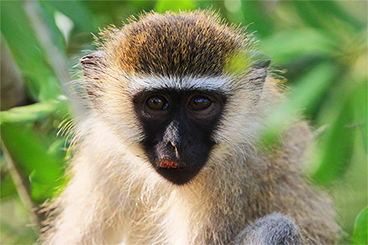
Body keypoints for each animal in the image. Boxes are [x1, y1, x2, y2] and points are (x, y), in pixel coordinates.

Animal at [39, 10, 340, 245]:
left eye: (199, 102)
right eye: (157, 102)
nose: (177, 142)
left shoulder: (227, 177)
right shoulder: (100, 159)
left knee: (276, 228)